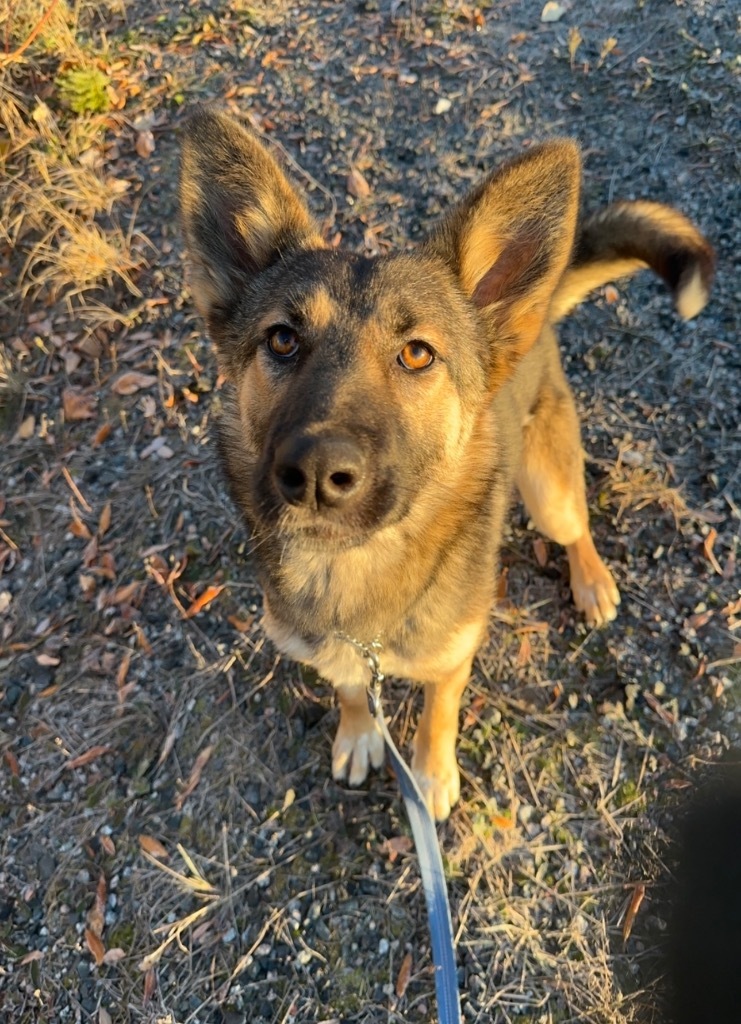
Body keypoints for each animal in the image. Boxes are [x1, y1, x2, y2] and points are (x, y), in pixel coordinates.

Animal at [178, 108, 712, 819]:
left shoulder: (454, 657)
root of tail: (533, 318)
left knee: (575, 527)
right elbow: (351, 688)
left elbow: (438, 714)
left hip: (547, 491)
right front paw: (359, 733)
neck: (354, 574)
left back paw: (592, 581)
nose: (315, 475)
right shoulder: (340, 657)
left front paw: (430, 777)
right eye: (282, 339)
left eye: (417, 354)